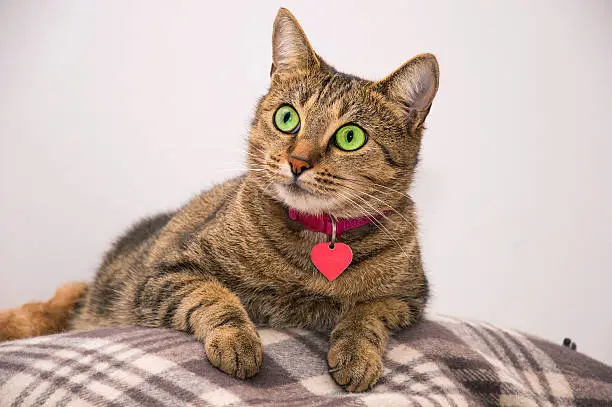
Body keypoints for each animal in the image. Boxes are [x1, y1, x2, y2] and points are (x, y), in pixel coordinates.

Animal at [0, 7, 440, 394]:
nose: (297, 162)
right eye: (287, 118)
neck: (315, 244)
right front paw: (237, 341)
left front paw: (357, 354)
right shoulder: (167, 274)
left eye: (350, 137)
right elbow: (215, 296)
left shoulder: (407, 298)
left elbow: (366, 314)